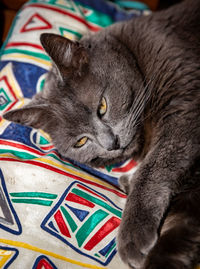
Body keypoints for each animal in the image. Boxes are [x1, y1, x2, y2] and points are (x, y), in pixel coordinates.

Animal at [3, 1, 200, 266]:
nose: (111, 144)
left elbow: (154, 168)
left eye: (102, 107)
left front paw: (132, 235)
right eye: (81, 142)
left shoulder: (185, 106)